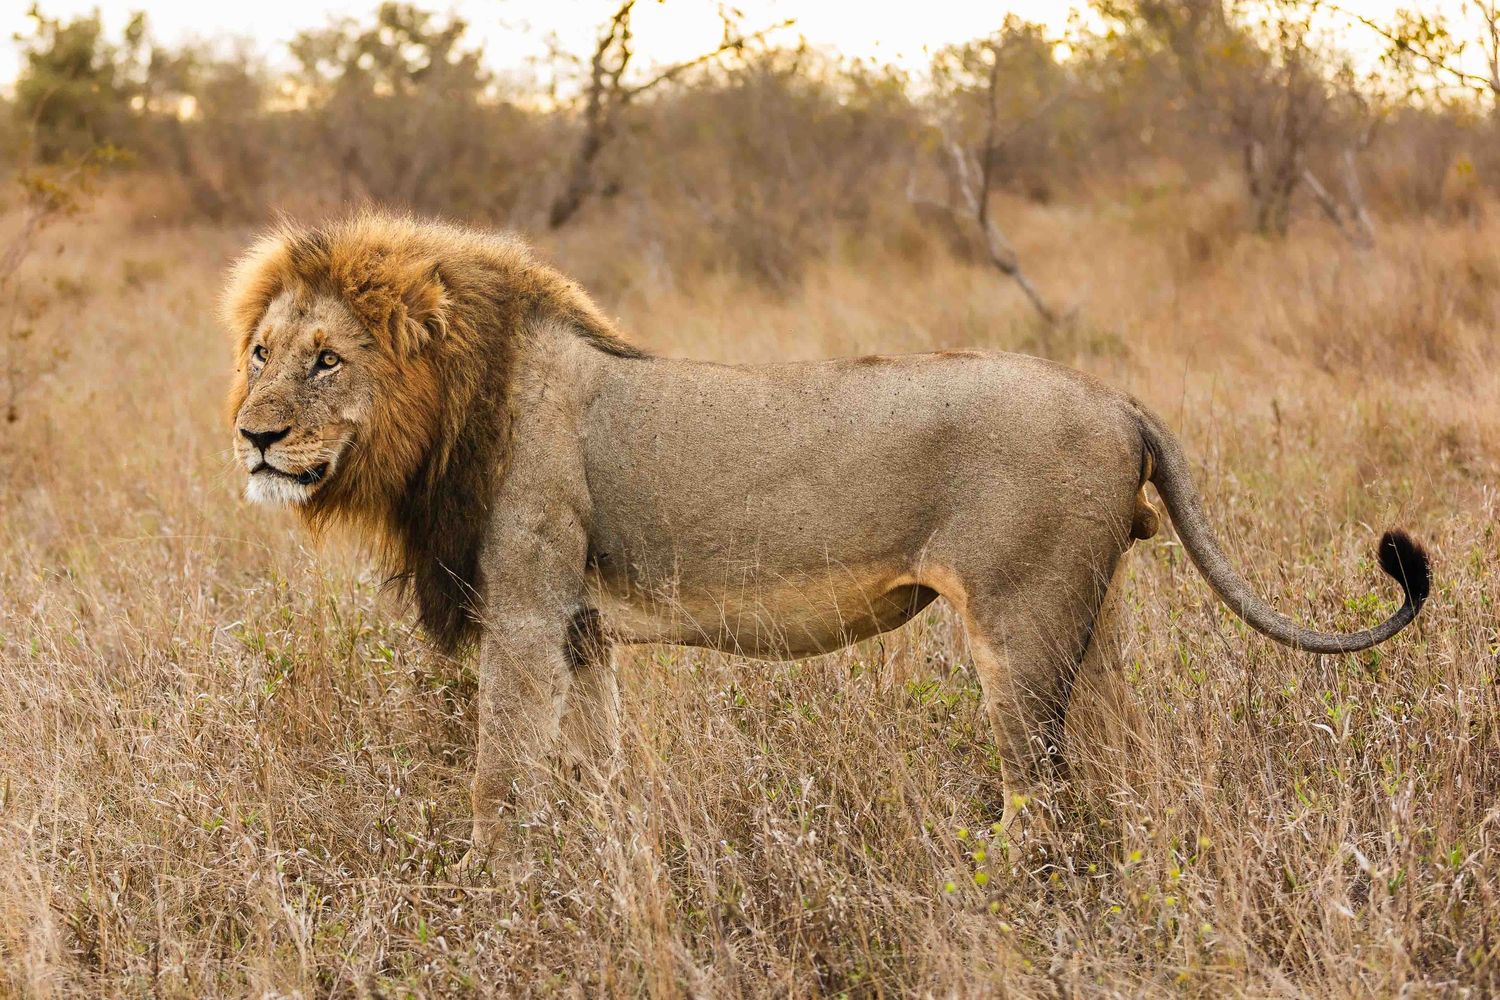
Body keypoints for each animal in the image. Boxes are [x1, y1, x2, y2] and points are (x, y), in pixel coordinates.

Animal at [224, 211, 1430, 859]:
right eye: (262, 352)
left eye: (327, 359)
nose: (253, 436)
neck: (444, 419)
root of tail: (1120, 399)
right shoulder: (577, 629)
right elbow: (593, 770)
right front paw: (601, 864)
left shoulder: (523, 616)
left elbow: (498, 780)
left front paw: (488, 893)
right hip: (1097, 623)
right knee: (1120, 766)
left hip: (1020, 628)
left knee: (1039, 794)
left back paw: (981, 877)